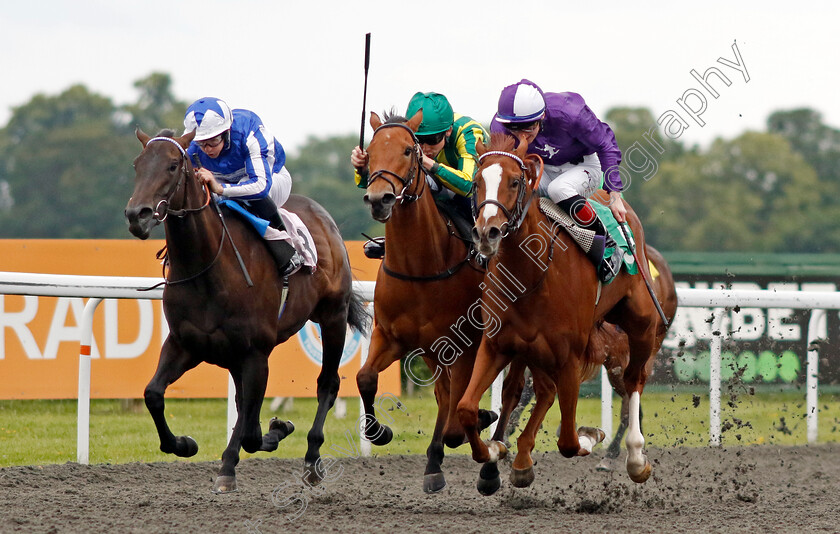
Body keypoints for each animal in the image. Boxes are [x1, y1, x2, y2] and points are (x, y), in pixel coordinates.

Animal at [124, 129, 368, 494]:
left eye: (172, 165)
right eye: (137, 165)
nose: (136, 214)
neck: (208, 268)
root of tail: (325, 219)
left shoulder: (255, 353)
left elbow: (250, 428)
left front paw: (230, 465)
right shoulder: (185, 344)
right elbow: (154, 394)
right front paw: (184, 444)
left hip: (333, 317)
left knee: (328, 383)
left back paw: (312, 460)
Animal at [358, 111, 496, 496]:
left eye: (409, 150)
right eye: (371, 150)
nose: (380, 198)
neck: (419, 268)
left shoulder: (464, 346)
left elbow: (457, 420)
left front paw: (481, 425)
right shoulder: (390, 336)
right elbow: (365, 377)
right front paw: (379, 432)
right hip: (433, 352)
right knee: (443, 396)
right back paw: (434, 465)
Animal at [460, 135, 668, 498]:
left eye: (514, 181)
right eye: (476, 182)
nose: (487, 233)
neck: (530, 274)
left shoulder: (569, 355)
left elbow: (570, 441)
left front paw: (592, 435)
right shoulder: (498, 344)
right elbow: (468, 408)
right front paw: (494, 451)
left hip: (642, 326)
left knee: (633, 381)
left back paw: (634, 457)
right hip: (533, 350)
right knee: (535, 390)